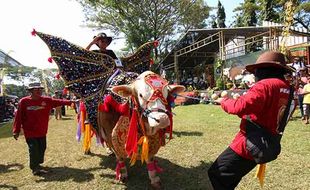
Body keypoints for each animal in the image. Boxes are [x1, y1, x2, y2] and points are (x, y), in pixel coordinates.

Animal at [33, 30, 184, 188]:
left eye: (167, 94)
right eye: (141, 95)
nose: (162, 120)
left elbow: (149, 156)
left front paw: (154, 178)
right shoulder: (108, 131)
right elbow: (119, 155)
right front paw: (122, 174)